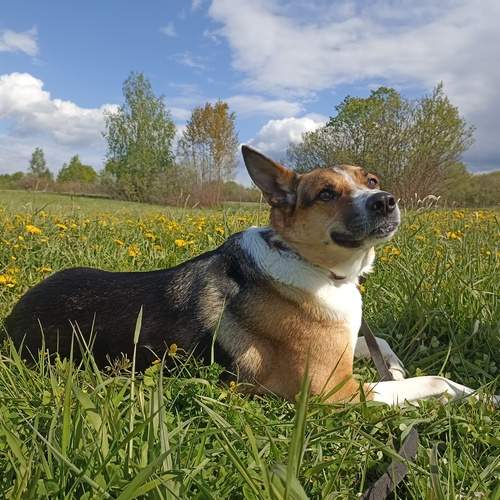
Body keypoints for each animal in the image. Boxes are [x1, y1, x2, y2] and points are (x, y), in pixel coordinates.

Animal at [5, 145, 490, 406]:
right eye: (325, 193)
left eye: (370, 179)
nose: (386, 200)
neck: (314, 267)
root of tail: (12, 316)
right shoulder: (334, 392)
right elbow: (431, 381)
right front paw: (478, 397)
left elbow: (384, 345)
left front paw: (396, 367)